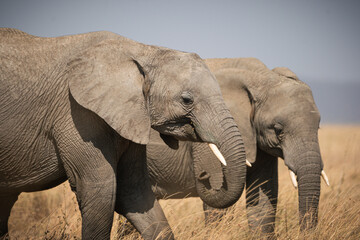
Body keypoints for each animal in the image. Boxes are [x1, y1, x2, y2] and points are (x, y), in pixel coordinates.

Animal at [0, 30, 248, 240]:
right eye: (187, 100)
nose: (204, 176)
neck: (142, 50)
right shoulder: (75, 113)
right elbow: (101, 192)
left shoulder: (132, 116)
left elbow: (134, 192)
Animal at [146, 57, 330, 236]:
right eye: (278, 130)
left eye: (318, 127)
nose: (202, 175)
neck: (259, 77)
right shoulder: (207, 132)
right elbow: (218, 203)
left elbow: (263, 202)